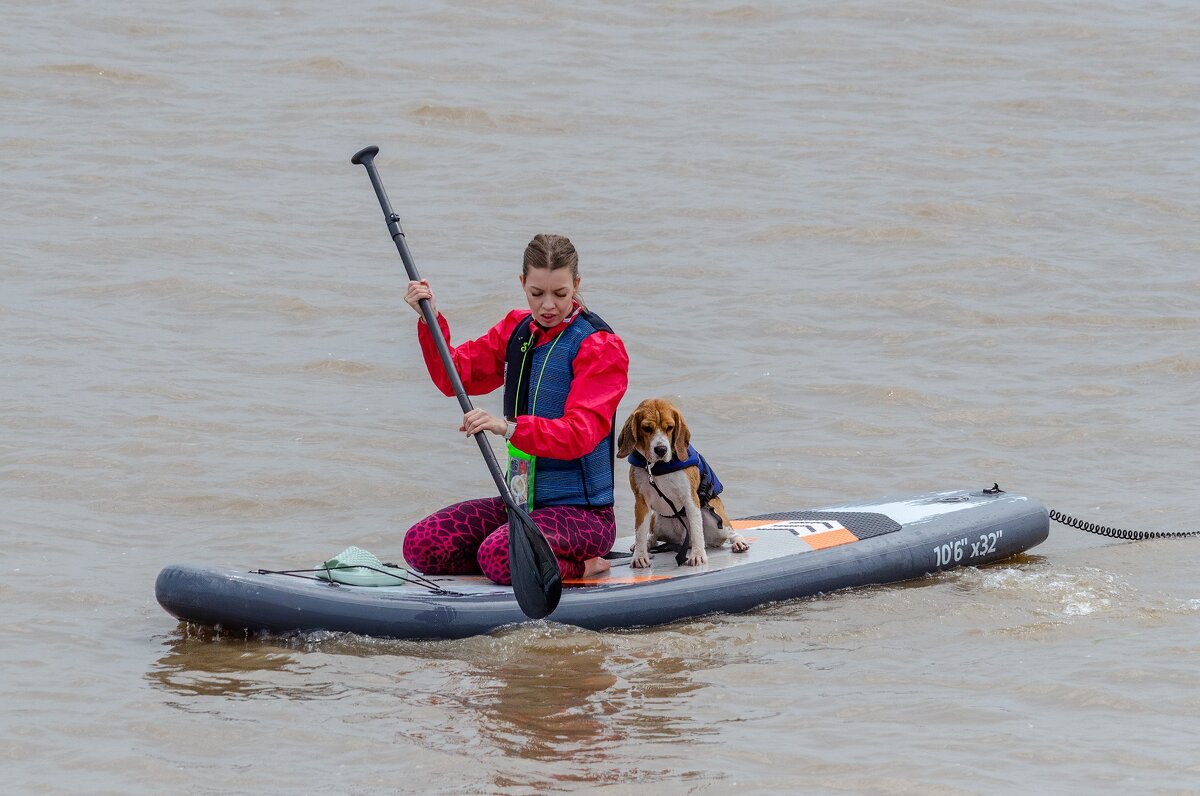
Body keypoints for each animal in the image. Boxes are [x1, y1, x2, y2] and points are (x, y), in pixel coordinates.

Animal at [619, 398, 748, 566]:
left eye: (670, 427)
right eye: (646, 428)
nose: (661, 449)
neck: (656, 467)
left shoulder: (690, 499)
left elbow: (696, 529)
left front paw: (698, 555)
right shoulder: (641, 501)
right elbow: (640, 531)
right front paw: (640, 556)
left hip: (714, 519)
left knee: (730, 533)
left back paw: (738, 542)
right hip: (656, 518)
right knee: (653, 536)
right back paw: (647, 543)